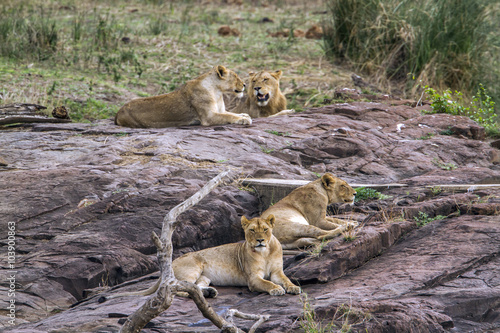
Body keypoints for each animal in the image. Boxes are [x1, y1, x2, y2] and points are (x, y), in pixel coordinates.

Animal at [99, 213, 298, 300]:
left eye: (265, 229)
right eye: (252, 230)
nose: (260, 240)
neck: (265, 253)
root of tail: (173, 260)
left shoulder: (277, 272)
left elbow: (286, 279)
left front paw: (293, 288)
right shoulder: (253, 279)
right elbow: (267, 283)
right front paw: (276, 289)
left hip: (204, 277)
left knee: (194, 287)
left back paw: (209, 293)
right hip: (193, 269)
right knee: (178, 289)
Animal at [115, 64, 252, 127]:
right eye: (235, 77)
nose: (245, 85)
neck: (217, 92)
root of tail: (118, 112)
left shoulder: (220, 110)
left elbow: (231, 113)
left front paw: (244, 115)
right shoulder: (208, 117)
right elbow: (229, 117)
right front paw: (244, 119)